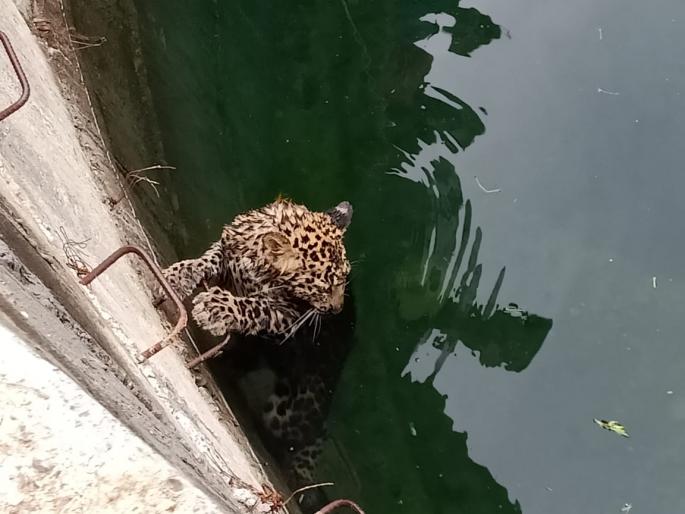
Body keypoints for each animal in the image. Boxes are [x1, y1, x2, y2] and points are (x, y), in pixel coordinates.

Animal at [159, 198, 353, 339]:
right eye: (325, 287)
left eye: (345, 278)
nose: (338, 309)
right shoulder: (227, 248)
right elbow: (206, 260)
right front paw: (176, 278)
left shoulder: (289, 315)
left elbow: (256, 306)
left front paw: (217, 308)